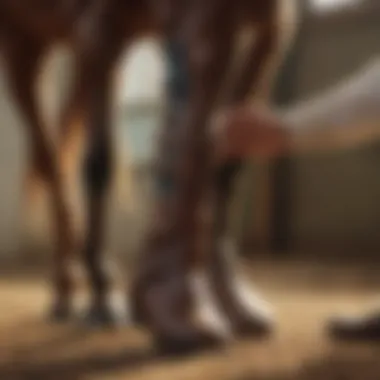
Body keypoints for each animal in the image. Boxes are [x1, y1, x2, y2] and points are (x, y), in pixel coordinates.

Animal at [0, 0, 296, 356]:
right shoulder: (100, 33)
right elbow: (99, 163)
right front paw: (104, 295)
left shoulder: (266, 26)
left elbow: (223, 163)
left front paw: (236, 307)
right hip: (22, 43)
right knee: (51, 162)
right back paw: (76, 287)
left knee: (57, 152)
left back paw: (67, 289)